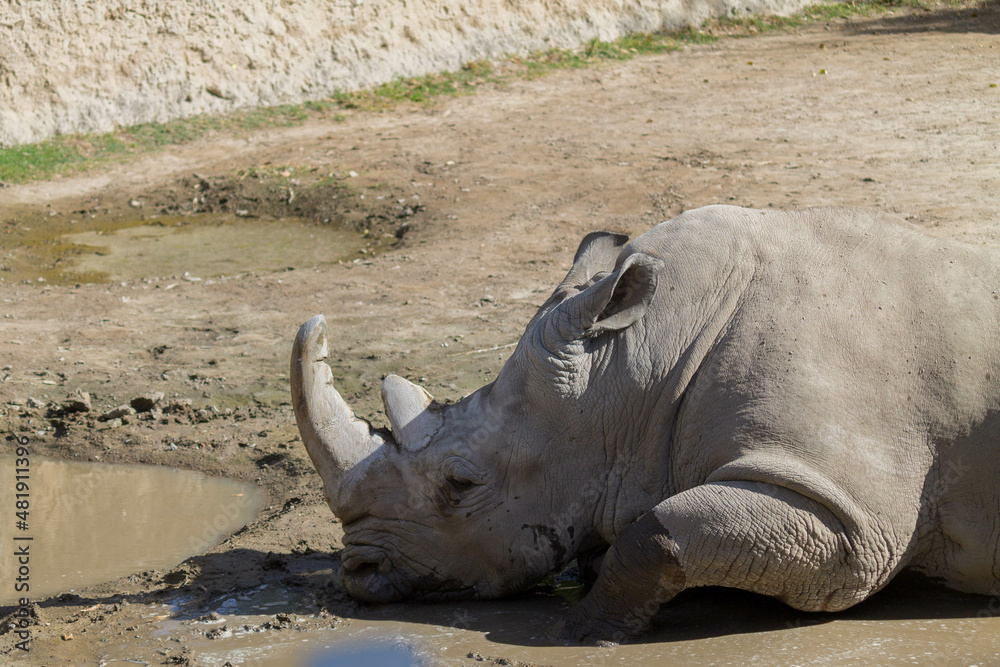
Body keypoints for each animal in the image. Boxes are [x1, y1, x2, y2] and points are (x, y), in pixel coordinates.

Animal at [291, 205, 1000, 643]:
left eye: (460, 485)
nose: (358, 573)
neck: (635, 372)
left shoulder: (847, 512)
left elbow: (658, 530)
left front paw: (575, 633)